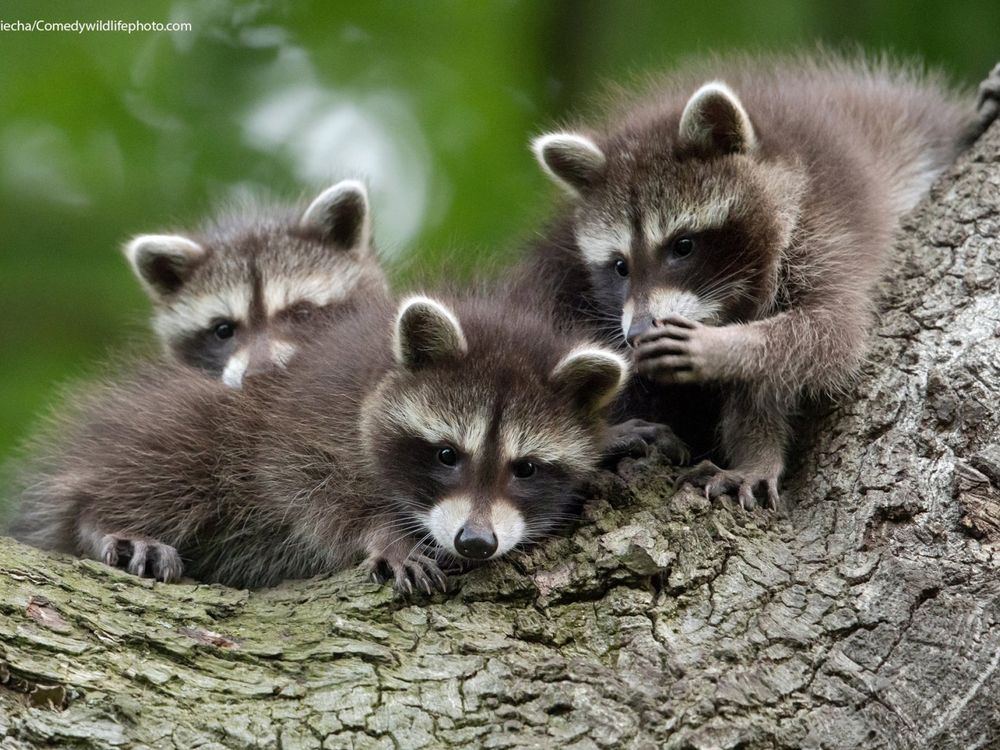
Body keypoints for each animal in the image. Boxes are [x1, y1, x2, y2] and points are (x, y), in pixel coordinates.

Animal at [528, 51, 996, 512]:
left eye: (683, 245)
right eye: (620, 266)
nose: (637, 331)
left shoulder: (825, 229)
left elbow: (829, 334)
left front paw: (724, 347)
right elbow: (765, 384)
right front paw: (757, 451)